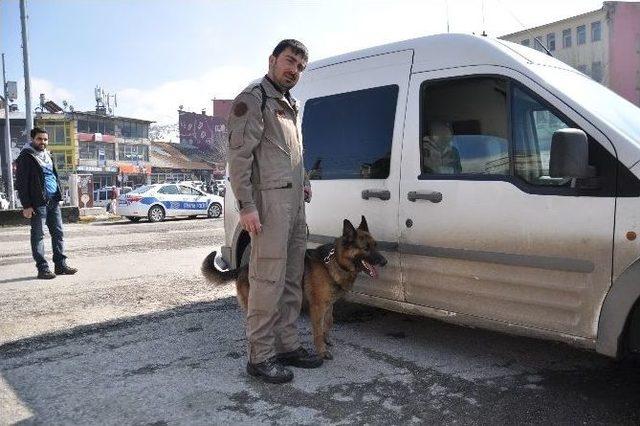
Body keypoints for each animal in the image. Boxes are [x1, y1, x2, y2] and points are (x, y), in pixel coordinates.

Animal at [202, 216, 388, 360]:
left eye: (376, 245)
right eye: (366, 248)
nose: (385, 262)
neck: (335, 262)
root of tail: (243, 268)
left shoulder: (329, 305)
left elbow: (329, 322)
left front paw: (327, 340)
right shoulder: (317, 307)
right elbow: (318, 331)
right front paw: (322, 351)